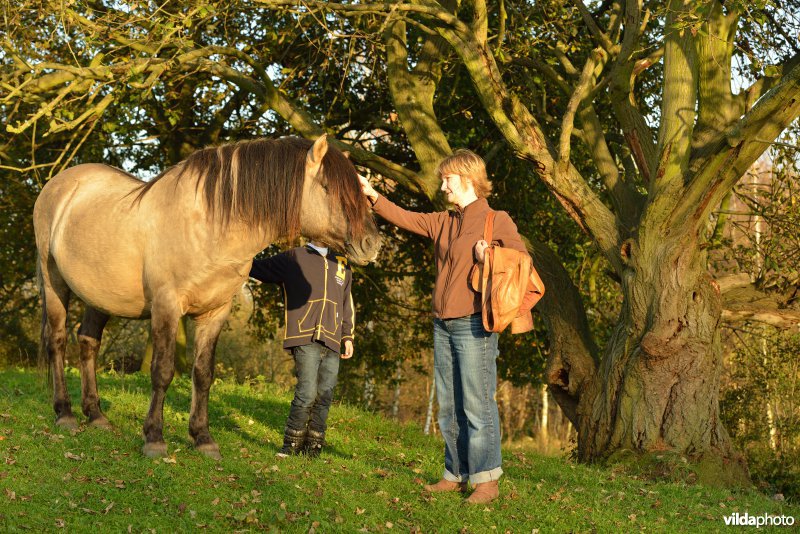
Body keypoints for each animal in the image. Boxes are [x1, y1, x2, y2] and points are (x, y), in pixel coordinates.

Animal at [36, 135, 384, 460]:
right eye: (327, 187)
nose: (371, 244)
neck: (208, 225)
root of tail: (59, 183)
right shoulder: (166, 307)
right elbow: (162, 371)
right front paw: (154, 439)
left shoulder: (215, 312)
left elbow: (203, 374)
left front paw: (203, 439)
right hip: (54, 283)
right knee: (57, 341)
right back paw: (65, 414)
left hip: (100, 296)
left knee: (87, 343)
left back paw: (96, 416)